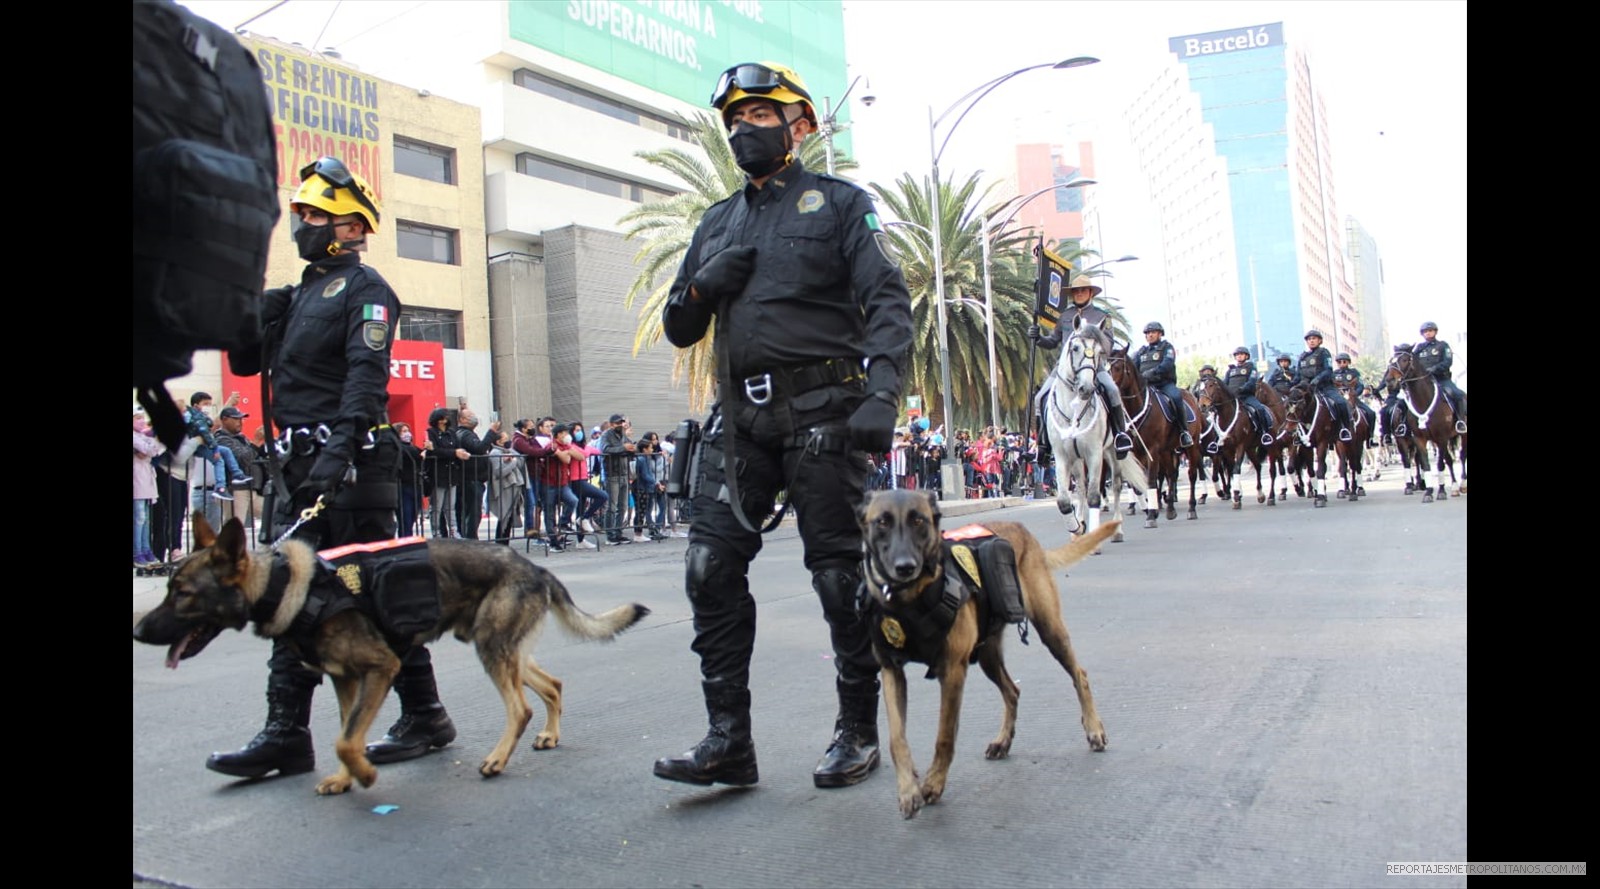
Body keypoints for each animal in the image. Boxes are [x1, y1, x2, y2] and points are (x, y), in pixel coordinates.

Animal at [136, 514, 649, 799]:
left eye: (182, 593)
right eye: (169, 588)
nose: (138, 631)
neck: (286, 585)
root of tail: (536, 567)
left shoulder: (382, 669)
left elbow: (347, 740)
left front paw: (362, 775)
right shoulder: (347, 680)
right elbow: (347, 733)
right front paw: (345, 778)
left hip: (493, 650)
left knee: (519, 708)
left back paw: (498, 760)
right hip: (502, 649)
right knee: (552, 684)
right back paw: (548, 734)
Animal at [857, 486, 1120, 818]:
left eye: (919, 521)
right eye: (882, 522)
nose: (905, 567)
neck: (909, 600)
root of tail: (1025, 532)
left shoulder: (952, 672)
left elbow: (945, 736)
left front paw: (933, 783)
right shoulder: (892, 671)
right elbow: (896, 738)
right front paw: (908, 789)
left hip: (1050, 631)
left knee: (1079, 674)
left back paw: (1094, 729)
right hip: (987, 656)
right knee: (1012, 691)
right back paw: (1003, 741)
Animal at [1043, 322, 1145, 553]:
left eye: (1100, 352)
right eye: (1075, 348)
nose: (1086, 388)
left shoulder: (1095, 454)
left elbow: (1094, 496)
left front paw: (1093, 538)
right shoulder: (1062, 456)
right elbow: (1064, 500)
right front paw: (1077, 528)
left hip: (1112, 454)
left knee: (1115, 485)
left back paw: (1117, 531)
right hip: (1077, 461)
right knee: (1080, 488)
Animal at [1113, 346, 1203, 527]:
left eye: (1117, 367)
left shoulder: (1152, 451)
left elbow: (1151, 480)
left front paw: (1151, 515)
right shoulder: (1136, 452)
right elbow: (1137, 483)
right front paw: (1150, 509)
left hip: (1192, 446)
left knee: (1191, 474)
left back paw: (1191, 508)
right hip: (1167, 451)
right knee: (1171, 475)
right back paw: (1170, 509)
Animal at [1382, 348, 1465, 498]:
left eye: (1404, 359)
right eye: (1391, 361)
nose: (1390, 380)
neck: (1424, 401)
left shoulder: (1441, 438)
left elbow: (1439, 464)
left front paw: (1441, 491)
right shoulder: (1415, 439)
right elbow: (1422, 463)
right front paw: (1427, 491)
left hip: (1461, 434)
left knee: (1461, 456)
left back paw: (1461, 485)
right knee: (1447, 459)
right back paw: (1453, 487)